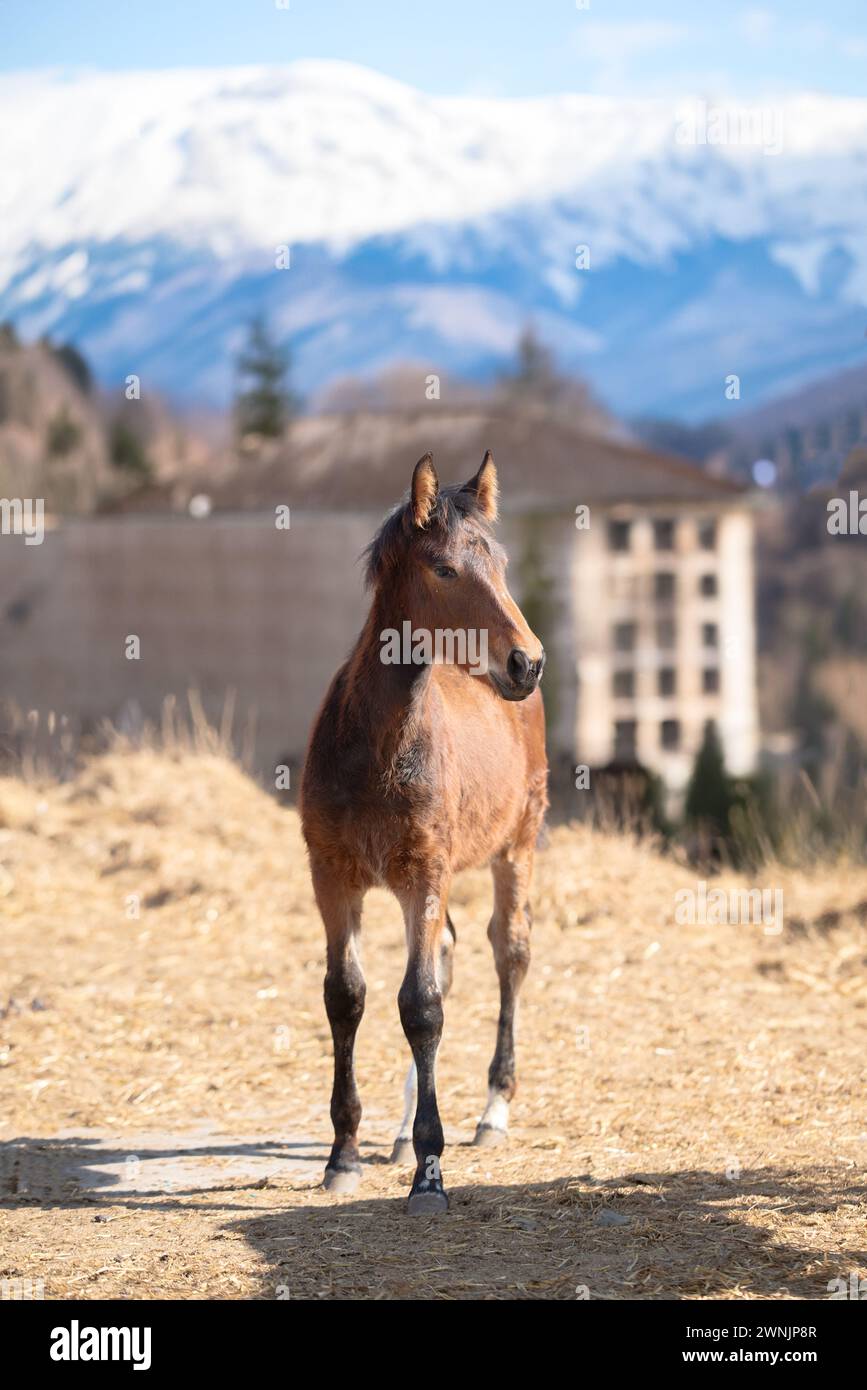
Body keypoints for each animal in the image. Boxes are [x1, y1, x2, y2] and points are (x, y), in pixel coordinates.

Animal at [302, 450, 547, 1212]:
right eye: (444, 569)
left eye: (500, 562)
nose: (527, 661)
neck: (379, 747)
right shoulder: (331, 874)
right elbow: (347, 996)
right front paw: (344, 1154)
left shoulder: (425, 872)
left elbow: (422, 1007)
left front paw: (431, 1174)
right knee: (444, 953)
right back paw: (401, 1134)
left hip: (516, 846)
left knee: (509, 952)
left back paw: (492, 1112)